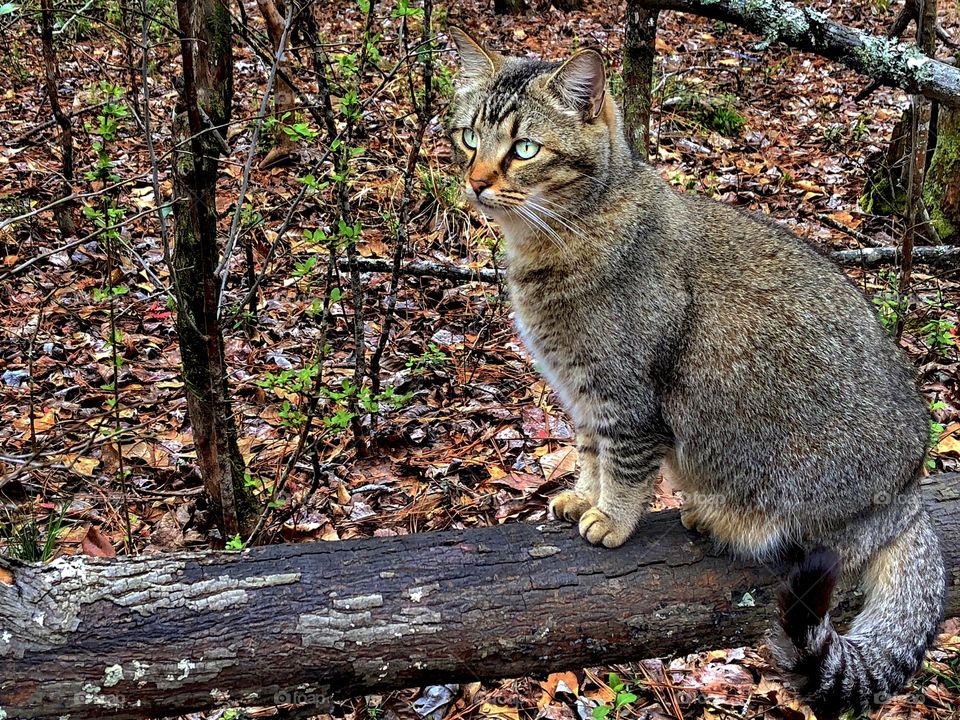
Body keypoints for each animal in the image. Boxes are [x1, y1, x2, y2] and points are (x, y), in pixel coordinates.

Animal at [448, 25, 944, 716]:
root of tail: (908, 497)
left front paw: (611, 517)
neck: (555, 242)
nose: (476, 182)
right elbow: (589, 455)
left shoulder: (626, 397)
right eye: (470, 137)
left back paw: (715, 516)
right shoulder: (583, 396)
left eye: (524, 149)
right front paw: (583, 495)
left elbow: (625, 468)